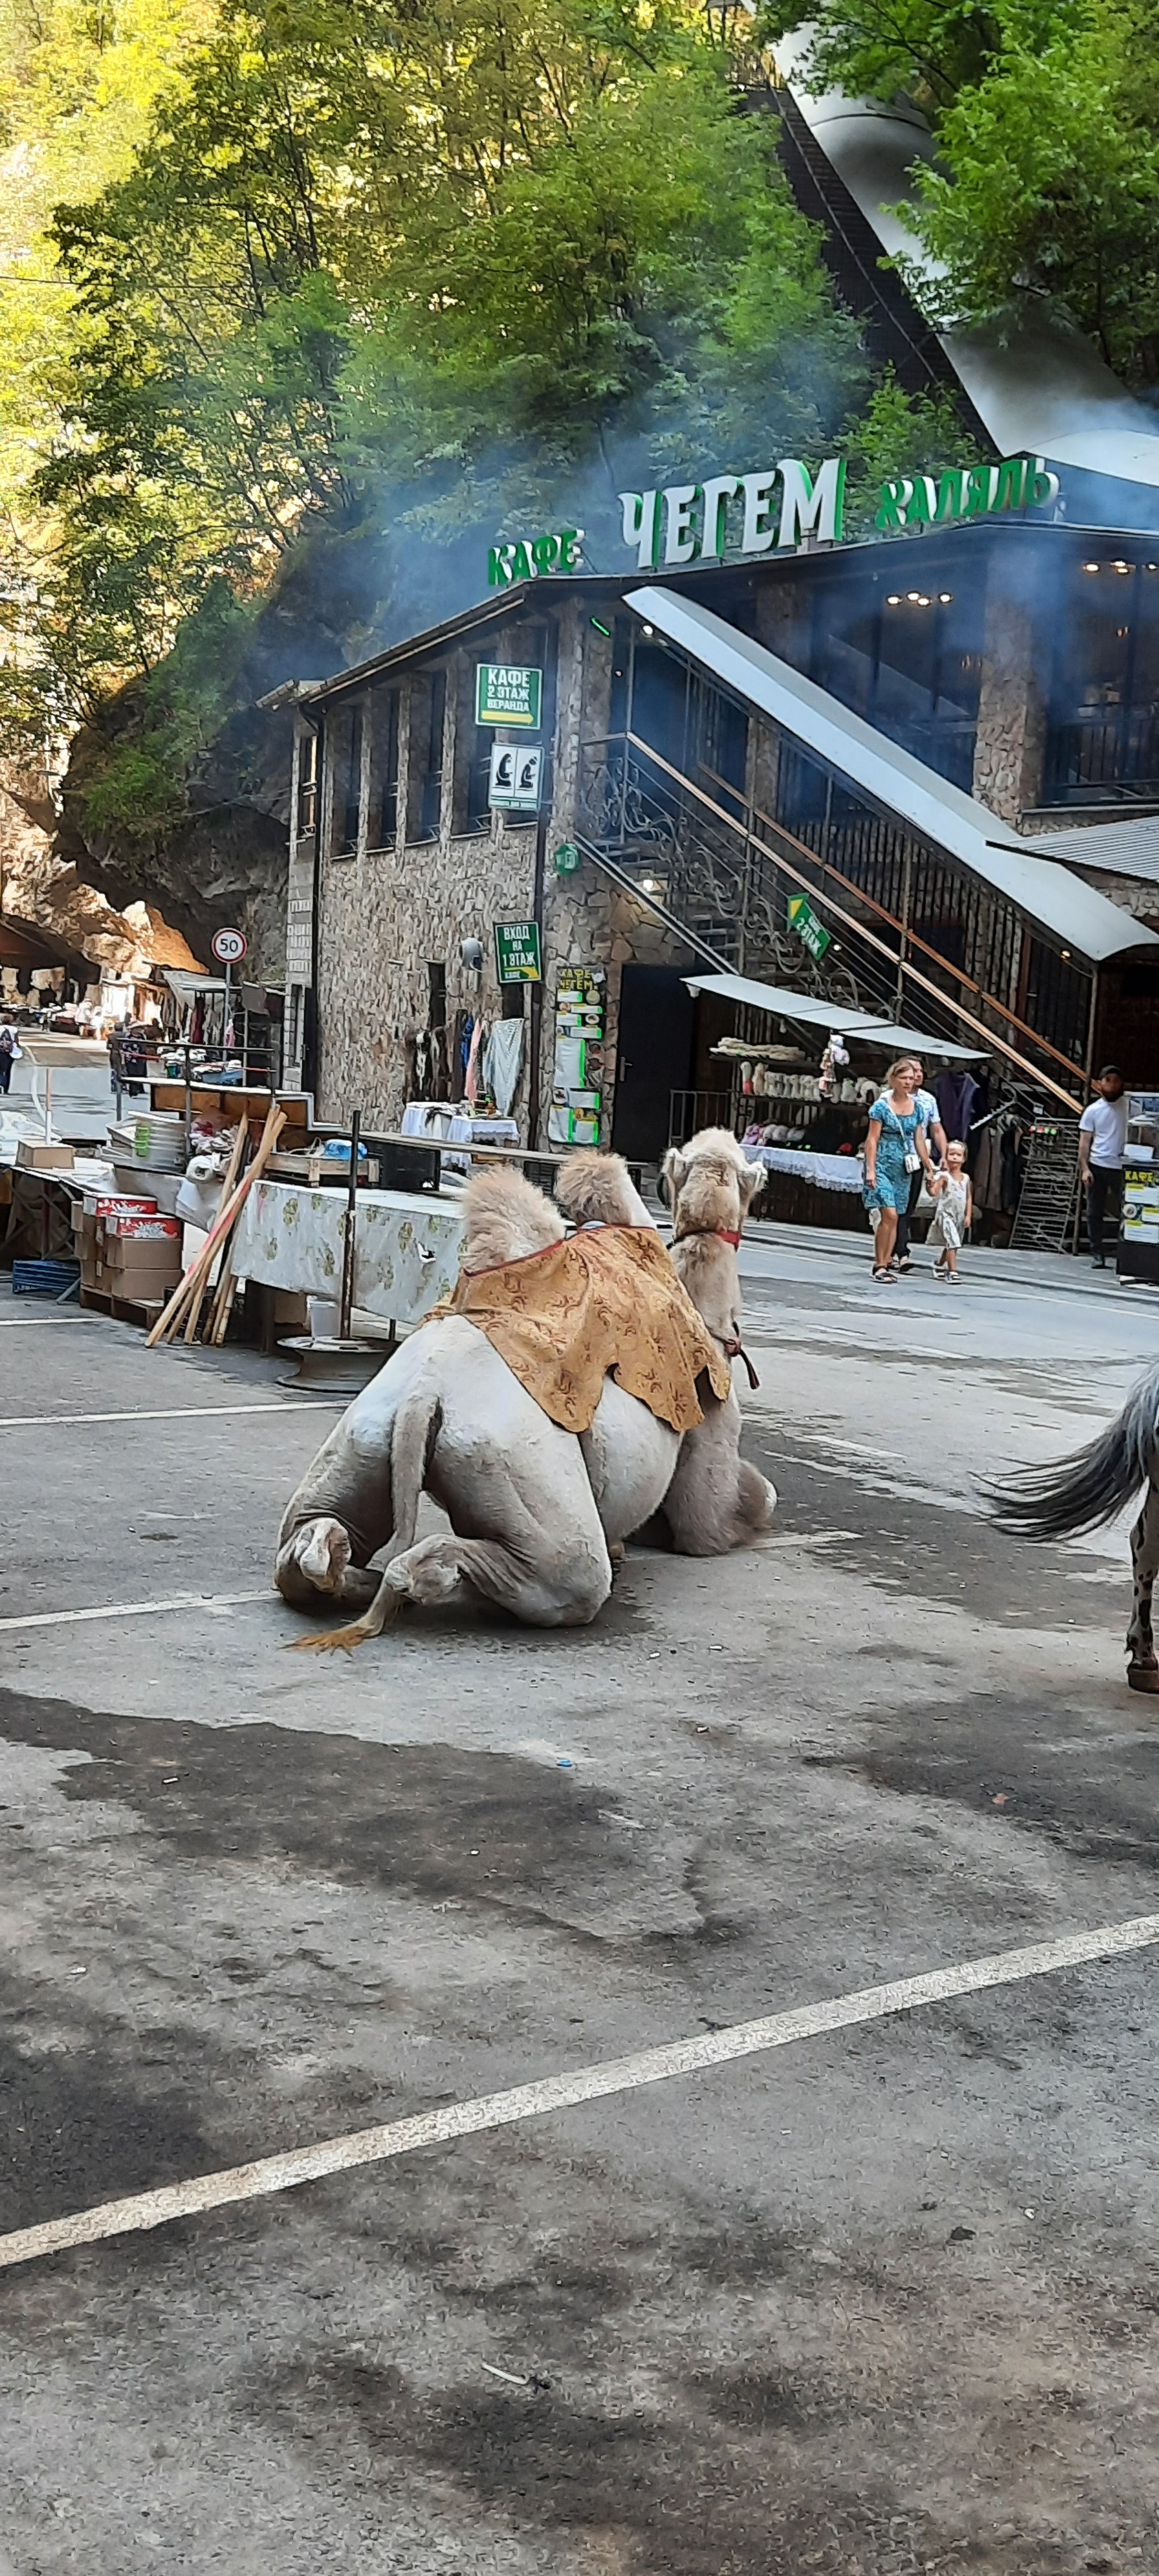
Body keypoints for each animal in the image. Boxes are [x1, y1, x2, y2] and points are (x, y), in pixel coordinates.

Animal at [276, 1128, 773, 1649]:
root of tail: (422, 1398)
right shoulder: (711, 1409)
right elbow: (711, 1523)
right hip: (512, 1461)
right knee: (569, 1573)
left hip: (366, 1436)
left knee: (309, 1541)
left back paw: (343, 1564)